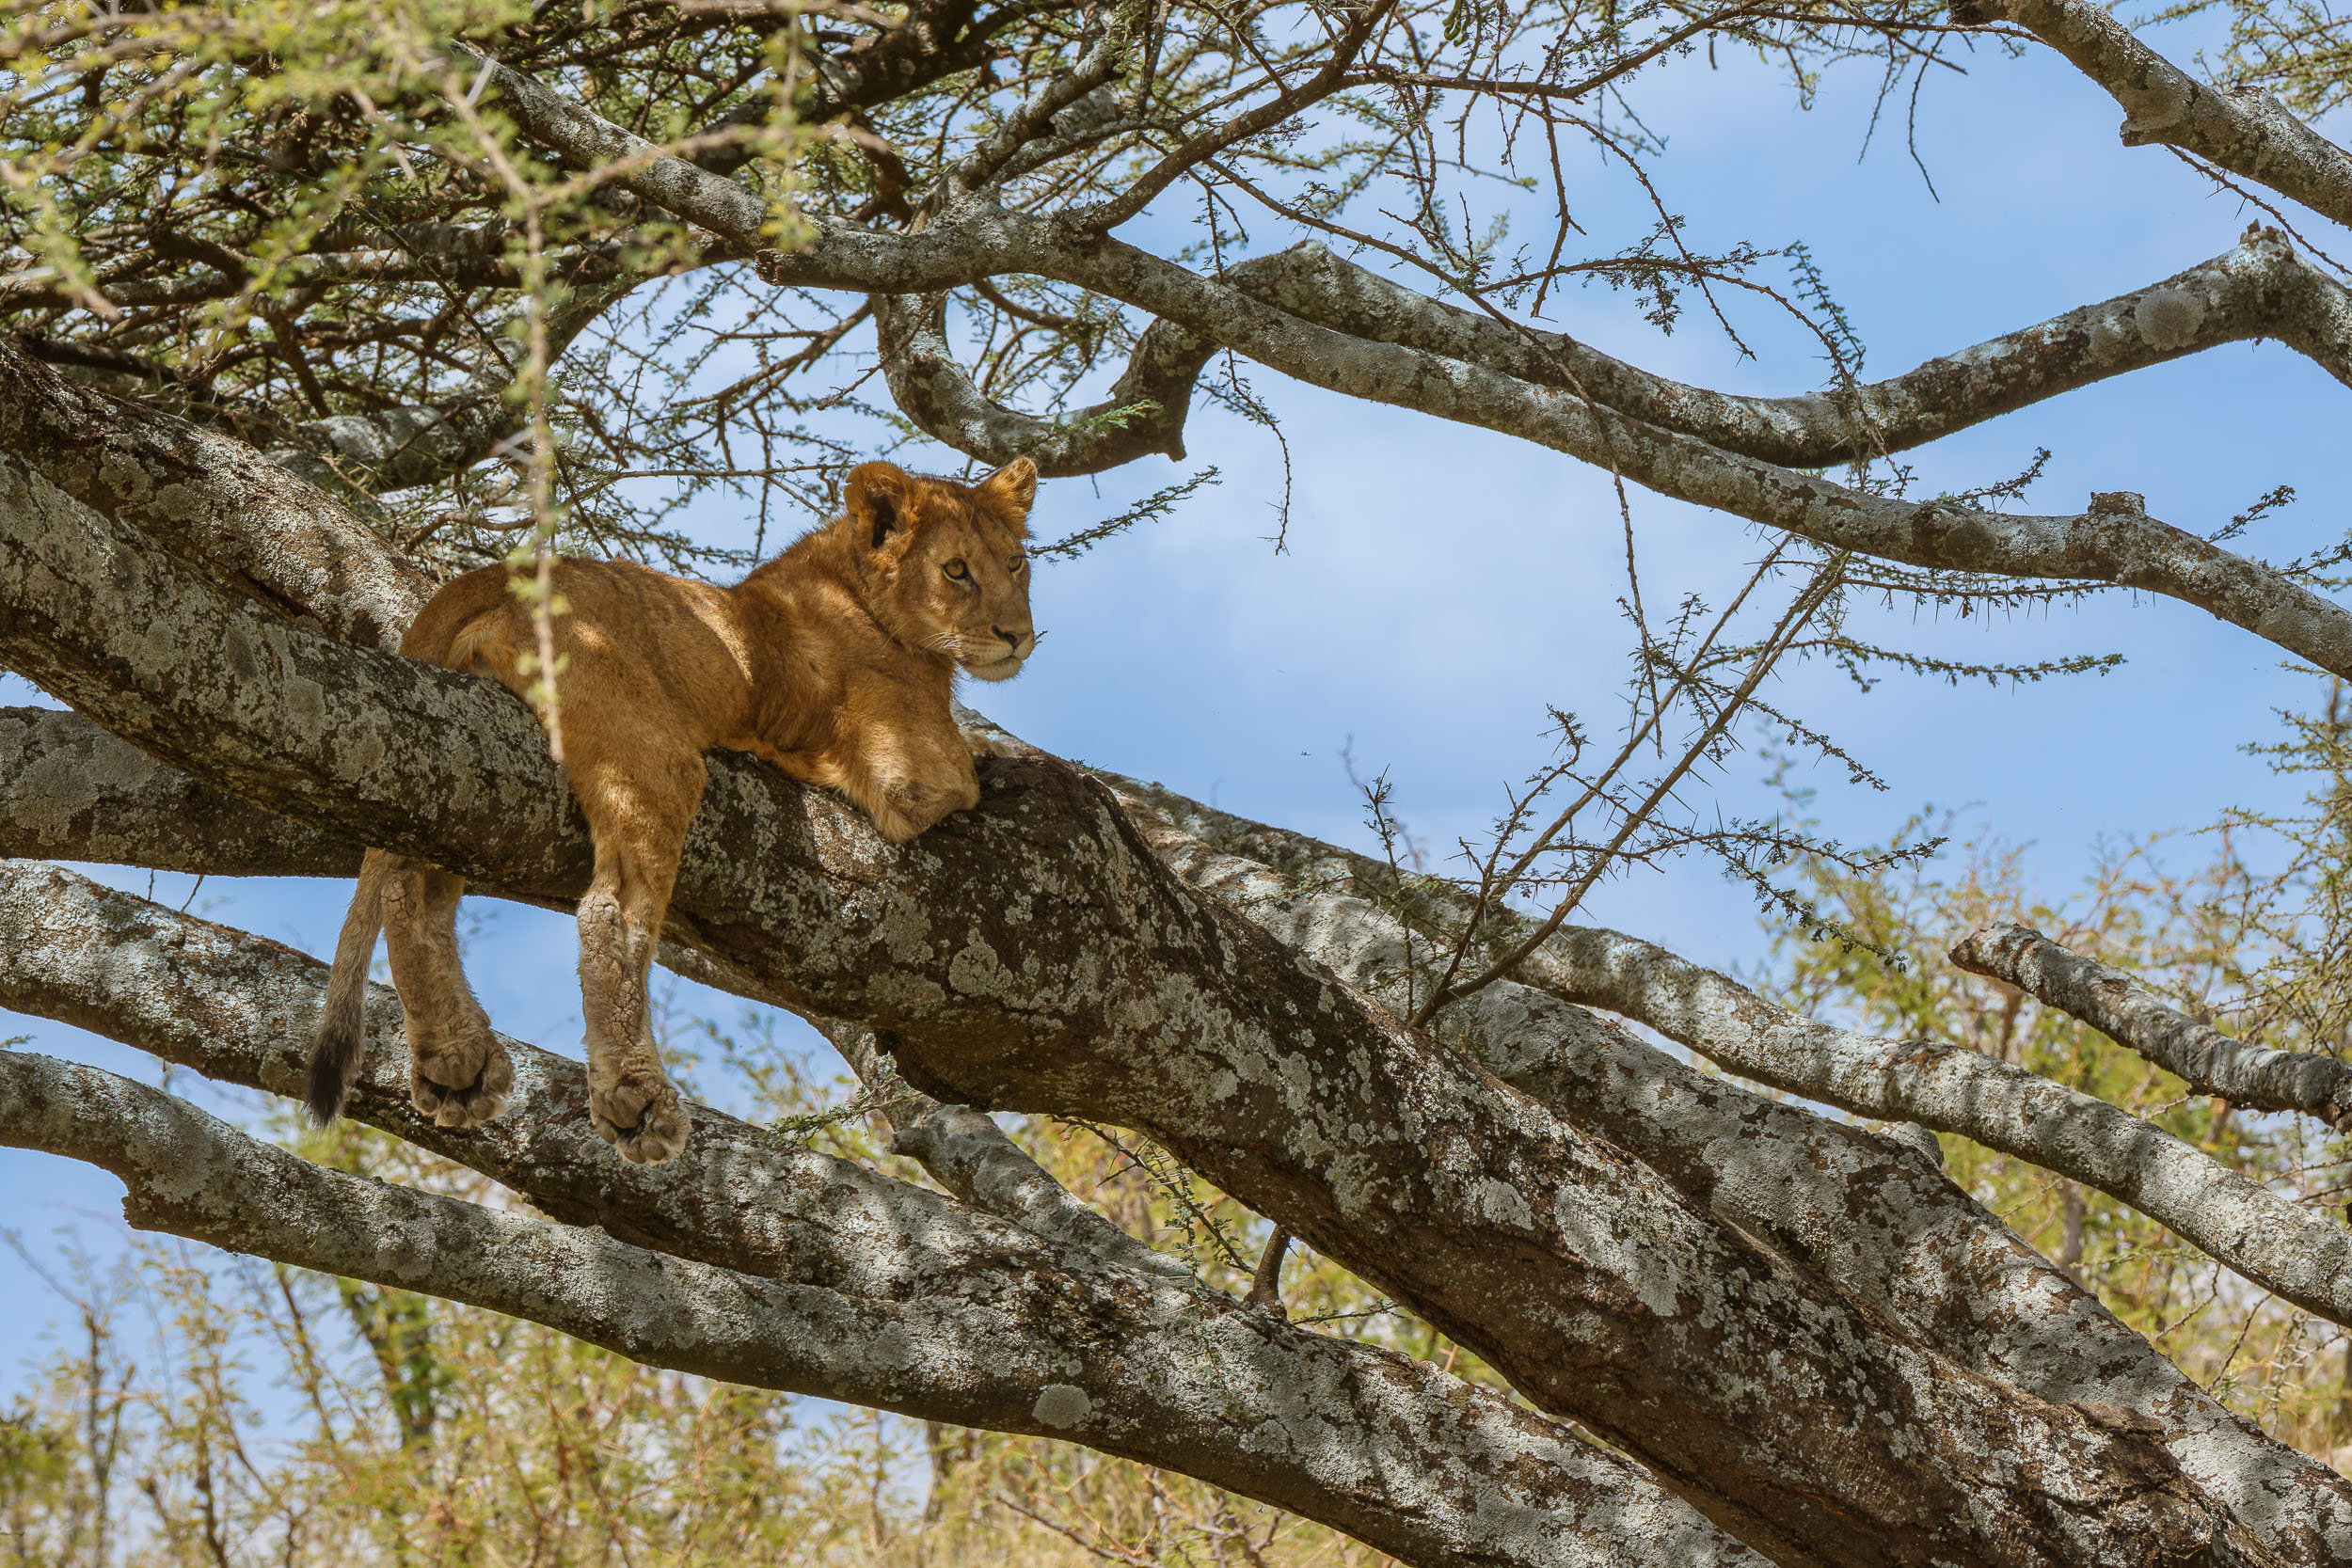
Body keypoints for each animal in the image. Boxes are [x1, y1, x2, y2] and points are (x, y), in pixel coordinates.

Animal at [305, 456, 1039, 1164]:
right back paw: (635, 1095)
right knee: (610, 911)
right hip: (650, 751)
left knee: (411, 883)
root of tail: (488, 577)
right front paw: (1000, 757)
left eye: (1015, 563)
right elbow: (972, 773)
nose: (1018, 637)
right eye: (955, 569)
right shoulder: (912, 772)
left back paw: (456, 1061)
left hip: (460, 781)